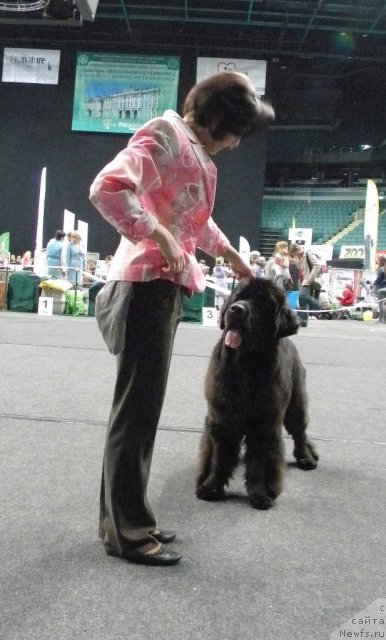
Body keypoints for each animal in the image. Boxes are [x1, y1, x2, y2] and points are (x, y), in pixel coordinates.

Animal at [195, 276, 318, 510]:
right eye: (239, 297)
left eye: (263, 304)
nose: (236, 309)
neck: (245, 365)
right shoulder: (221, 419)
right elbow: (219, 458)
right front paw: (210, 488)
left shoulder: (264, 424)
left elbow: (259, 464)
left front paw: (260, 495)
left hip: (296, 403)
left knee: (299, 432)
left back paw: (307, 458)